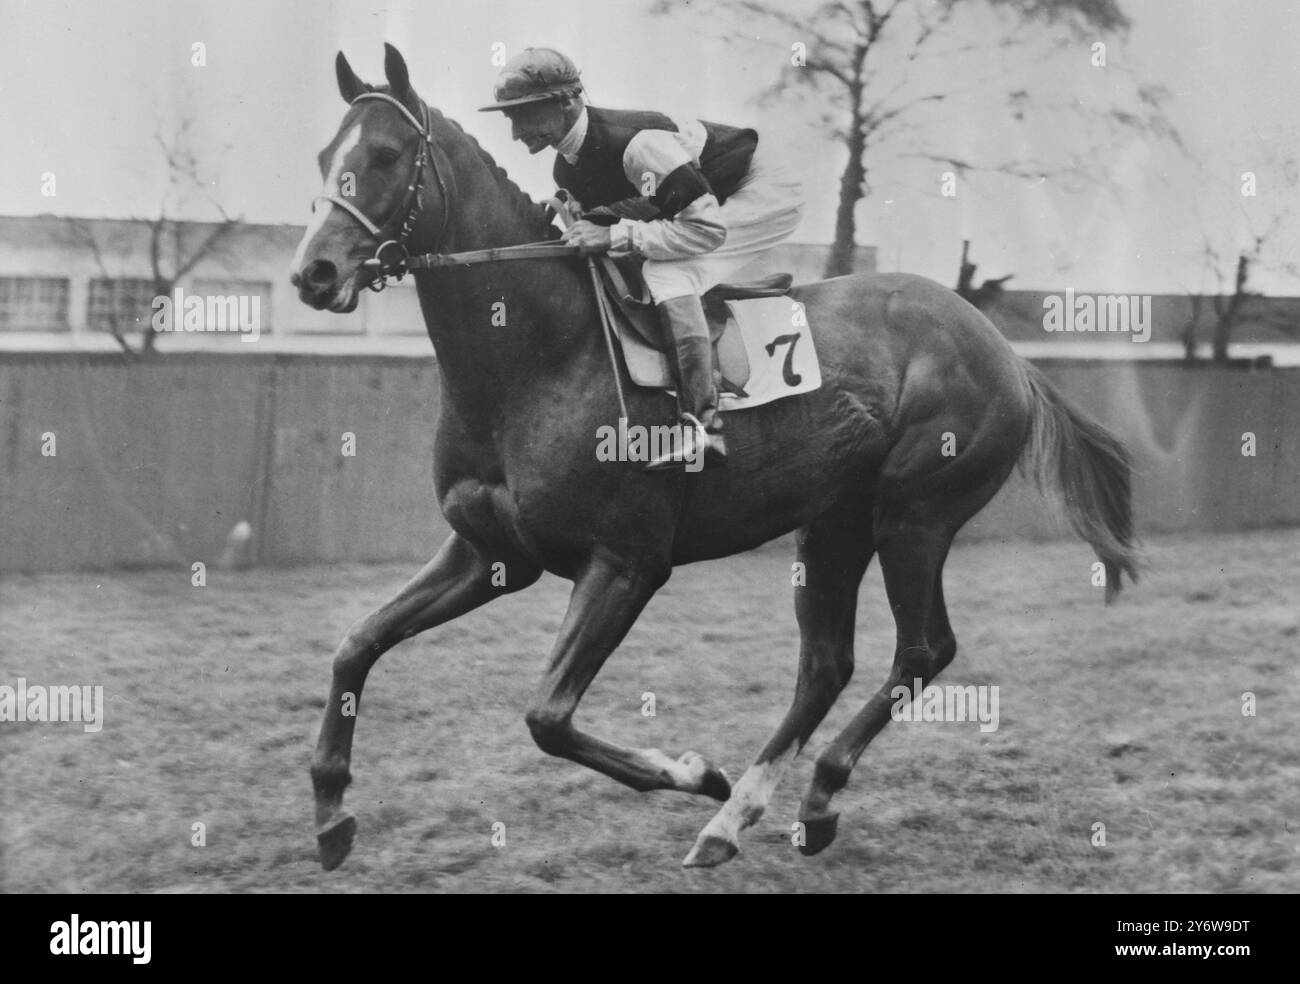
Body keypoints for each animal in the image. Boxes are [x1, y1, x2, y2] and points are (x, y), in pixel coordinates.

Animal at [292, 46, 1138, 873]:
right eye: (324, 157)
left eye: (386, 156)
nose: (313, 274)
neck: (534, 355)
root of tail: (1006, 352)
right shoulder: (490, 553)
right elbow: (355, 645)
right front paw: (331, 810)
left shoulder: (627, 561)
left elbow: (547, 716)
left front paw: (694, 772)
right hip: (834, 524)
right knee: (826, 665)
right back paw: (747, 820)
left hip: (915, 516)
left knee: (923, 649)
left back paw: (792, 798)